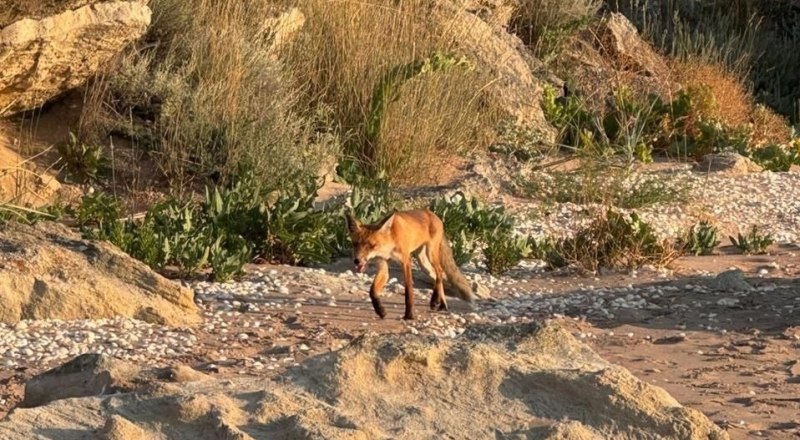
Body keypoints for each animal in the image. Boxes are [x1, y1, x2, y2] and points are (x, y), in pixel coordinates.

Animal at [346, 208, 476, 318]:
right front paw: (380, 310)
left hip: (431, 253)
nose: (357, 260)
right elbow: (372, 291)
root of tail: (433, 214)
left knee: (440, 272)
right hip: (423, 263)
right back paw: (442, 303)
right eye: (355, 244)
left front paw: (409, 315)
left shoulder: (406, 261)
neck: (391, 241)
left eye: (371, 246)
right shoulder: (383, 265)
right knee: (436, 276)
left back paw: (434, 300)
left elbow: (408, 291)